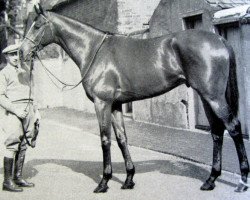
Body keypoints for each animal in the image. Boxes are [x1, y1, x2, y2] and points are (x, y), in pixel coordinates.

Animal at [20, 4, 249, 192]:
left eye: (37, 26)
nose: (22, 52)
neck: (94, 50)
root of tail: (218, 39)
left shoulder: (102, 104)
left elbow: (105, 140)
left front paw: (104, 182)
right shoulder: (115, 105)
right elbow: (122, 139)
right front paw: (129, 179)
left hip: (214, 97)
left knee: (233, 127)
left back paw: (242, 180)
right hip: (205, 97)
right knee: (217, 132)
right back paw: (210, 180)